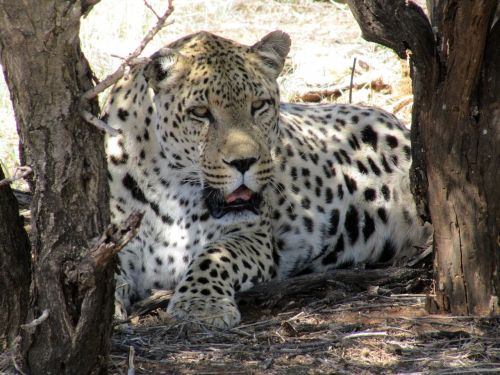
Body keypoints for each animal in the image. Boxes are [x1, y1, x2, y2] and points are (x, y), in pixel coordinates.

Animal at [106, 30, 434, 328]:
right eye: (200, 112)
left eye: (259, 105)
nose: (243, 162)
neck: (171, 190)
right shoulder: (114, 237)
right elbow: (109, 272)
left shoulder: (254, 236)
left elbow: (213, 257)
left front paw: (201, 305)